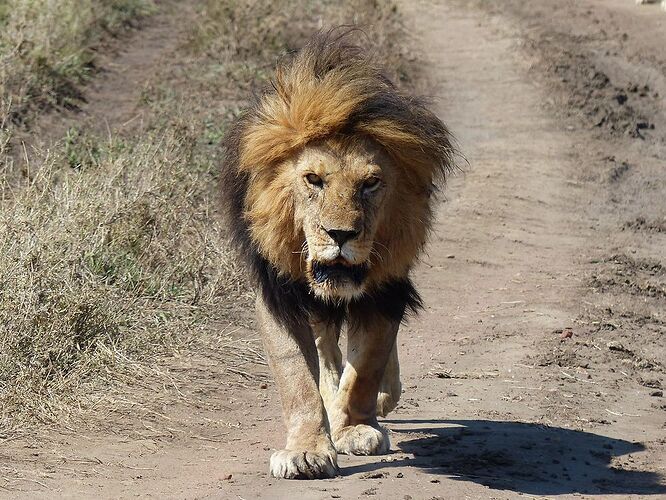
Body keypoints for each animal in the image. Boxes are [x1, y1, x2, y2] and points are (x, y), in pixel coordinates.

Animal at [220, 29, 454, 478]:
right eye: (313, 179)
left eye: (371, 183)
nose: (340, 234)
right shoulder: (279, 293)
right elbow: (297, 376)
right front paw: (306, 450)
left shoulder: (385, 290)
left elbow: (366, 368)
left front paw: (356, 428)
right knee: (326, 352)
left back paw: (381, 396)